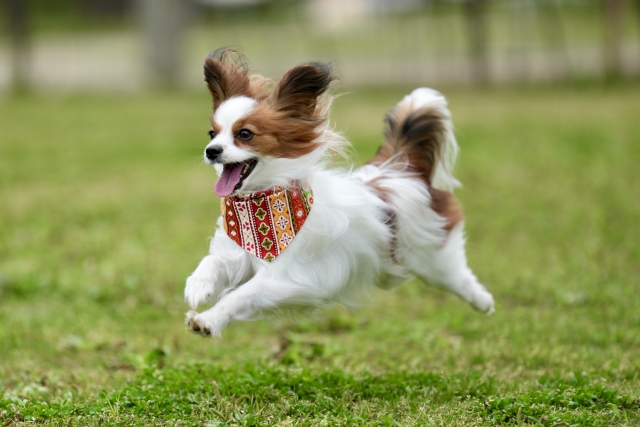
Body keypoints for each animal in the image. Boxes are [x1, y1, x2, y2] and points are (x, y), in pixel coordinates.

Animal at [185, 48, 496, 338]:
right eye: (212, 134)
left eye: (245, 134)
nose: (211, 151)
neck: (262, 205)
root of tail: (400, 170)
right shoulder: (237, 255)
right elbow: (211, 262)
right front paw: (196, 286)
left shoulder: (288, 279)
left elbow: (240, 296)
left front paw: (209, 319)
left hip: (434, 260)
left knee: (459, 278)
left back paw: (483, 302)